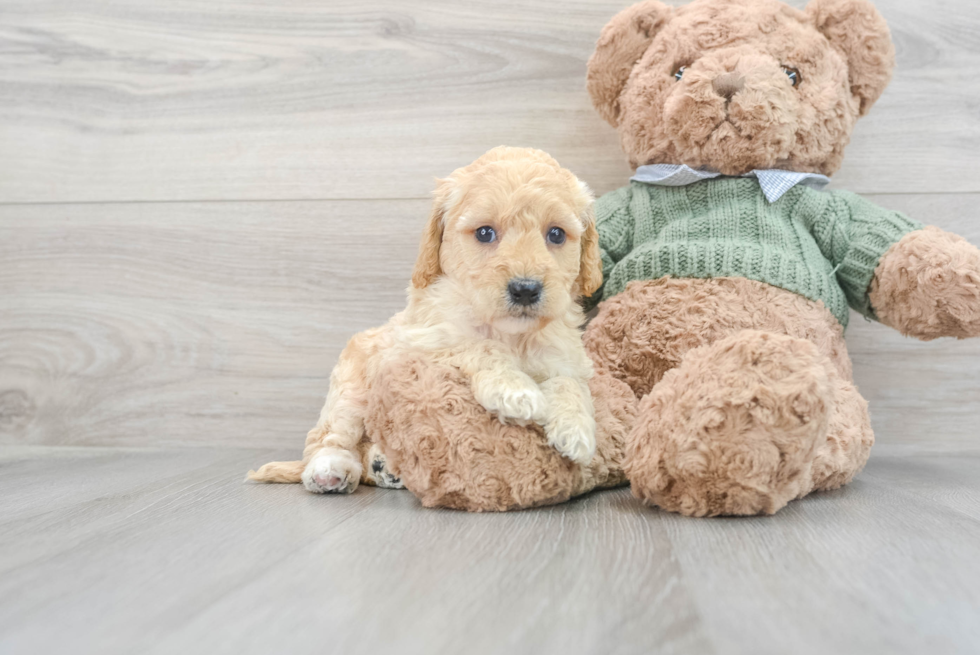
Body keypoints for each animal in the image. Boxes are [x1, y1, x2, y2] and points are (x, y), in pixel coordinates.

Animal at [245, 146, 604, 494]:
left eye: (556, 234)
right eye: (485, 233)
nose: (526, 289)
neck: (512, 335)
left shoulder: (564, 358)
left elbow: (569, 383)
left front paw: (577, 428)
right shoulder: (422, 344)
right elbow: (478, 346)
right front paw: (514, 390)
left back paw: (384, 466)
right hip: (350, 390)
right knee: (329, 438)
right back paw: (330, 469)